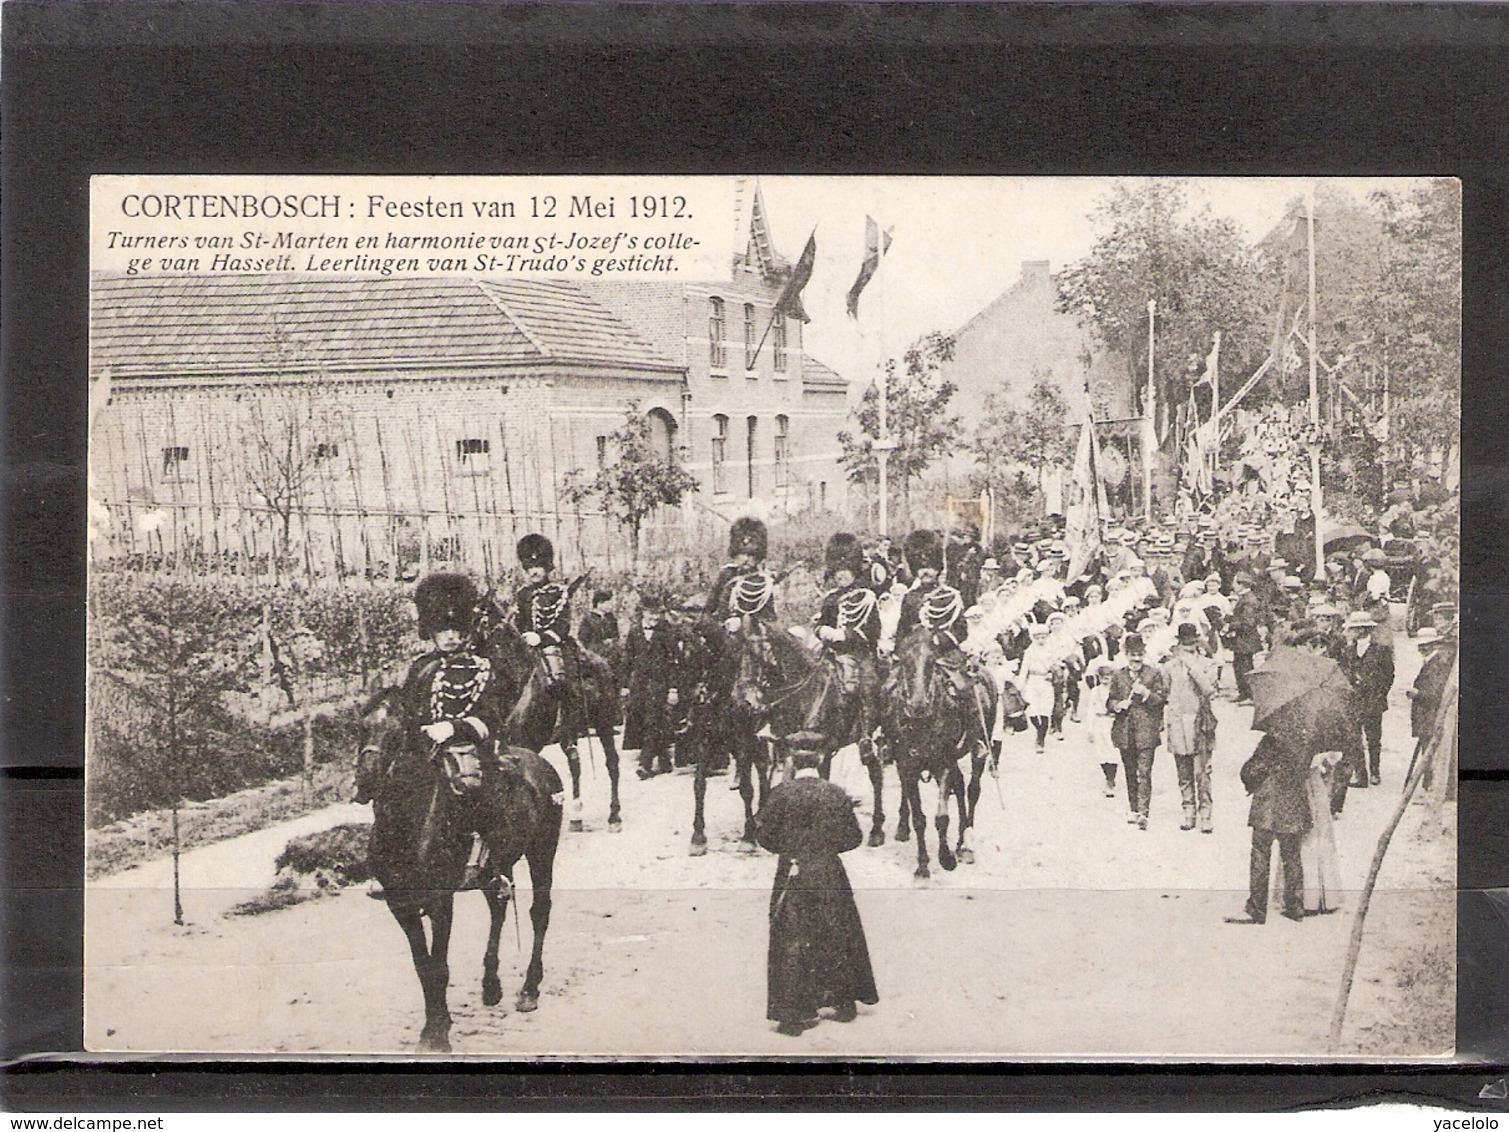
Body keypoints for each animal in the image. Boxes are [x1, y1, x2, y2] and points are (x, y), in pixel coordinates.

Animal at [356, 688, 564, 1062]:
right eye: (361, 728)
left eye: (398, 732)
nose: (366, 779)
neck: (406, 825)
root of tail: (536, 761)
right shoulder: (400, 905)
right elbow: (423, 967)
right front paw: (437, 1024)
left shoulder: (440, 903)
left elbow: (439, 967)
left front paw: (437, 1033)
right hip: (493, 868)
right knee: (499, 908)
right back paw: (491, 986)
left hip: (542, 851)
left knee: (539, 912)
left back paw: (529, 989)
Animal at [470, 603, 624, 833]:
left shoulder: (526, 745)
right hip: (569, 730)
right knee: (575, 764)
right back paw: (576, 817)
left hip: (604, 723)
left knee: (612, 763)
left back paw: (614, 816)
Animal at [881, 630, 995, 887]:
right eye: (905, 661)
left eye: (932, 662)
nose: (918, 705)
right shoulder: (907, 766)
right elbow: (919, 818)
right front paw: (922, 866)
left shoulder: (942, 764)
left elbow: (941, 817)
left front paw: (946, 858)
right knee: (959, 785)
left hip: (979, 745)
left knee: (973, 788)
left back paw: (966, 845)